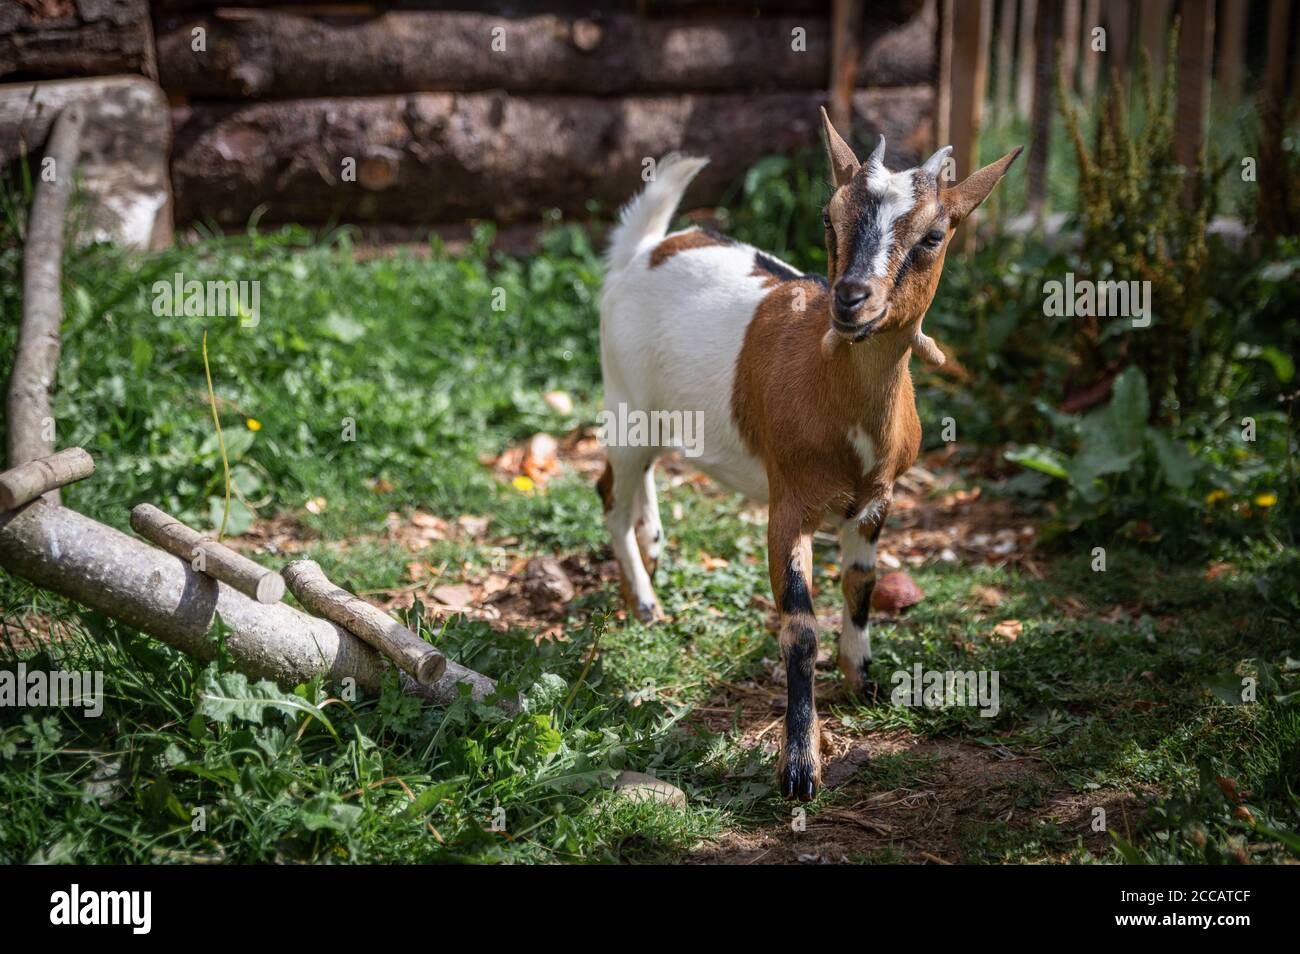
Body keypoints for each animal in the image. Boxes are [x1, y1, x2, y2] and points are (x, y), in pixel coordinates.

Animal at [598, 110, 1024, 800]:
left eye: (935, 235)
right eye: (830, 217)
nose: (850, 298)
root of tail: (647, 249)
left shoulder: (878, 499)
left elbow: (861, 584)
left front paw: (864, 682)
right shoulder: (789, 503)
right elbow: (798, 630)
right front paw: (799, 766)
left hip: (659, 414)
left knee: (645, 475)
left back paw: (654, 543)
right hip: (623, 398)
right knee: (611, 489)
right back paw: (644, 601)